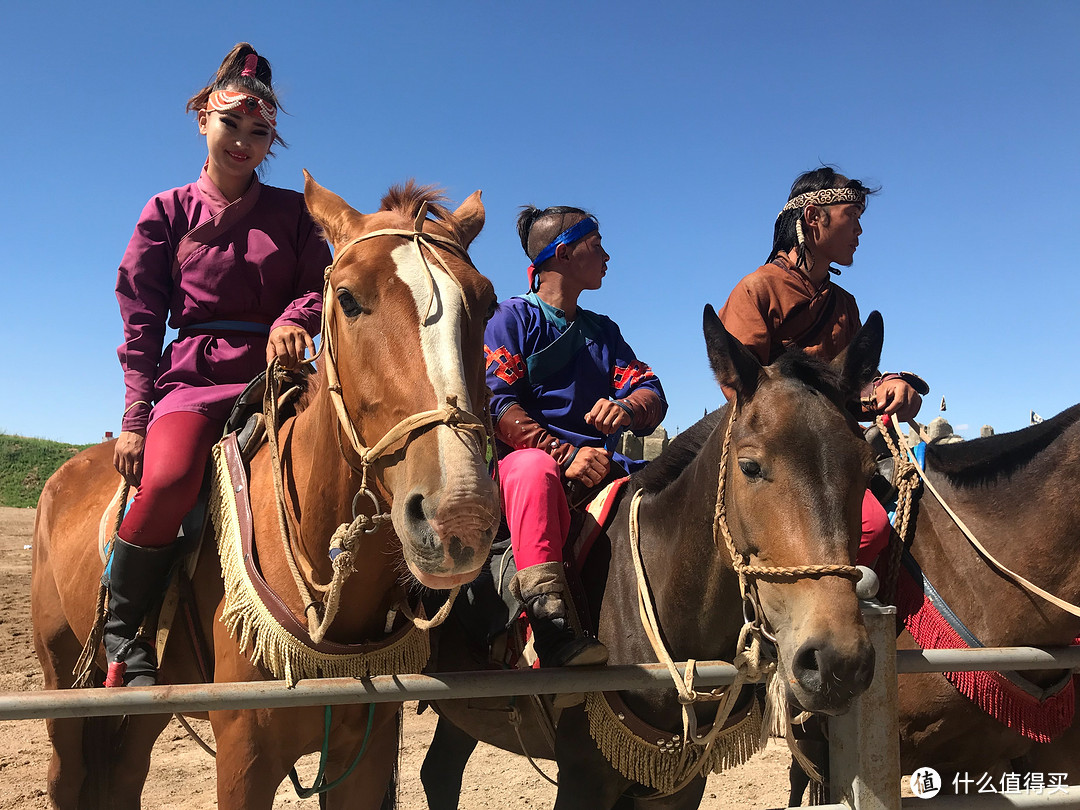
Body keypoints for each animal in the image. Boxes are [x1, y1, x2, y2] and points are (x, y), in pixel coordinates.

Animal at [31, 177, 498, 810]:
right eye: (348, 298)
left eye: (487, 302)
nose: (460, 513)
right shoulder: (245, 753)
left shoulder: (365, 751)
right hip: (62, 678)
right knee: (68, 775)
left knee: (124, 775)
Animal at [416, 306, 881, 810]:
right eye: (749, 466)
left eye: (867, 469)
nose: (837, 660)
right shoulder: (584, 775)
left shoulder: (678, 783)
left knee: (438, 773)